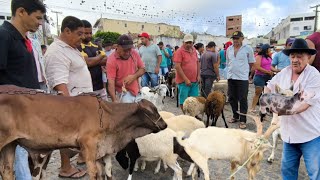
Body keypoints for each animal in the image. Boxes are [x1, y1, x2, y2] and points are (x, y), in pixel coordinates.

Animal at [0, 85, 166, 179]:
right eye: (152, 111)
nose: (164, 125)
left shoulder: (103, 151)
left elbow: (107, 173)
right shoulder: (89, 148)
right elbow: (94, 174)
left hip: (10, 145)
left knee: (7, 172)